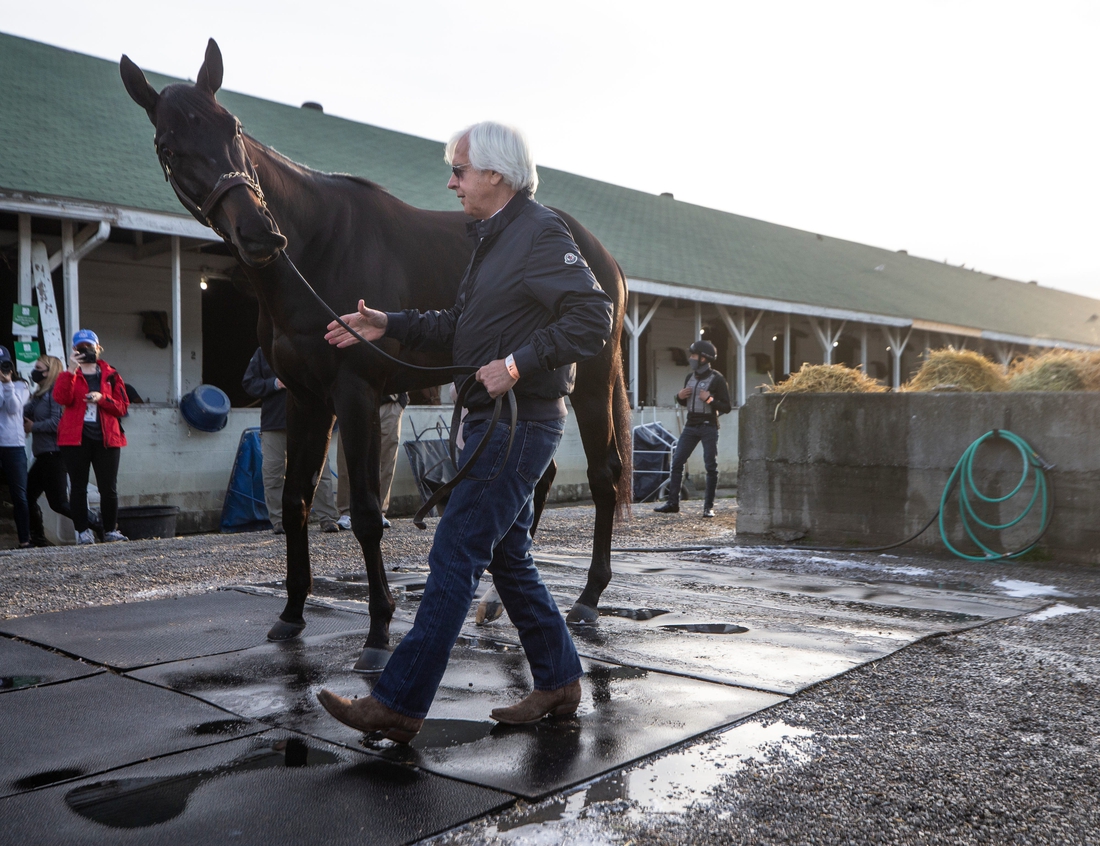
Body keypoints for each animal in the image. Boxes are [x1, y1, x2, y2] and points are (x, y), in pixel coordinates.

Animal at [120, 42, 633, 668]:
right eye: (168, 147)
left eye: (232, 127)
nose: (260, 235)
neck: (317, 249)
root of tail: (599, 251)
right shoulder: (307, 400)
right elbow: (294, 500)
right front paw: (292, 612)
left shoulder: (356, 395)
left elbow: (367, 511)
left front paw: (379, 629)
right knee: (537, 478)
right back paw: (493, 600)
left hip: (593, 381)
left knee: (605, 474)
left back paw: (587, 598)